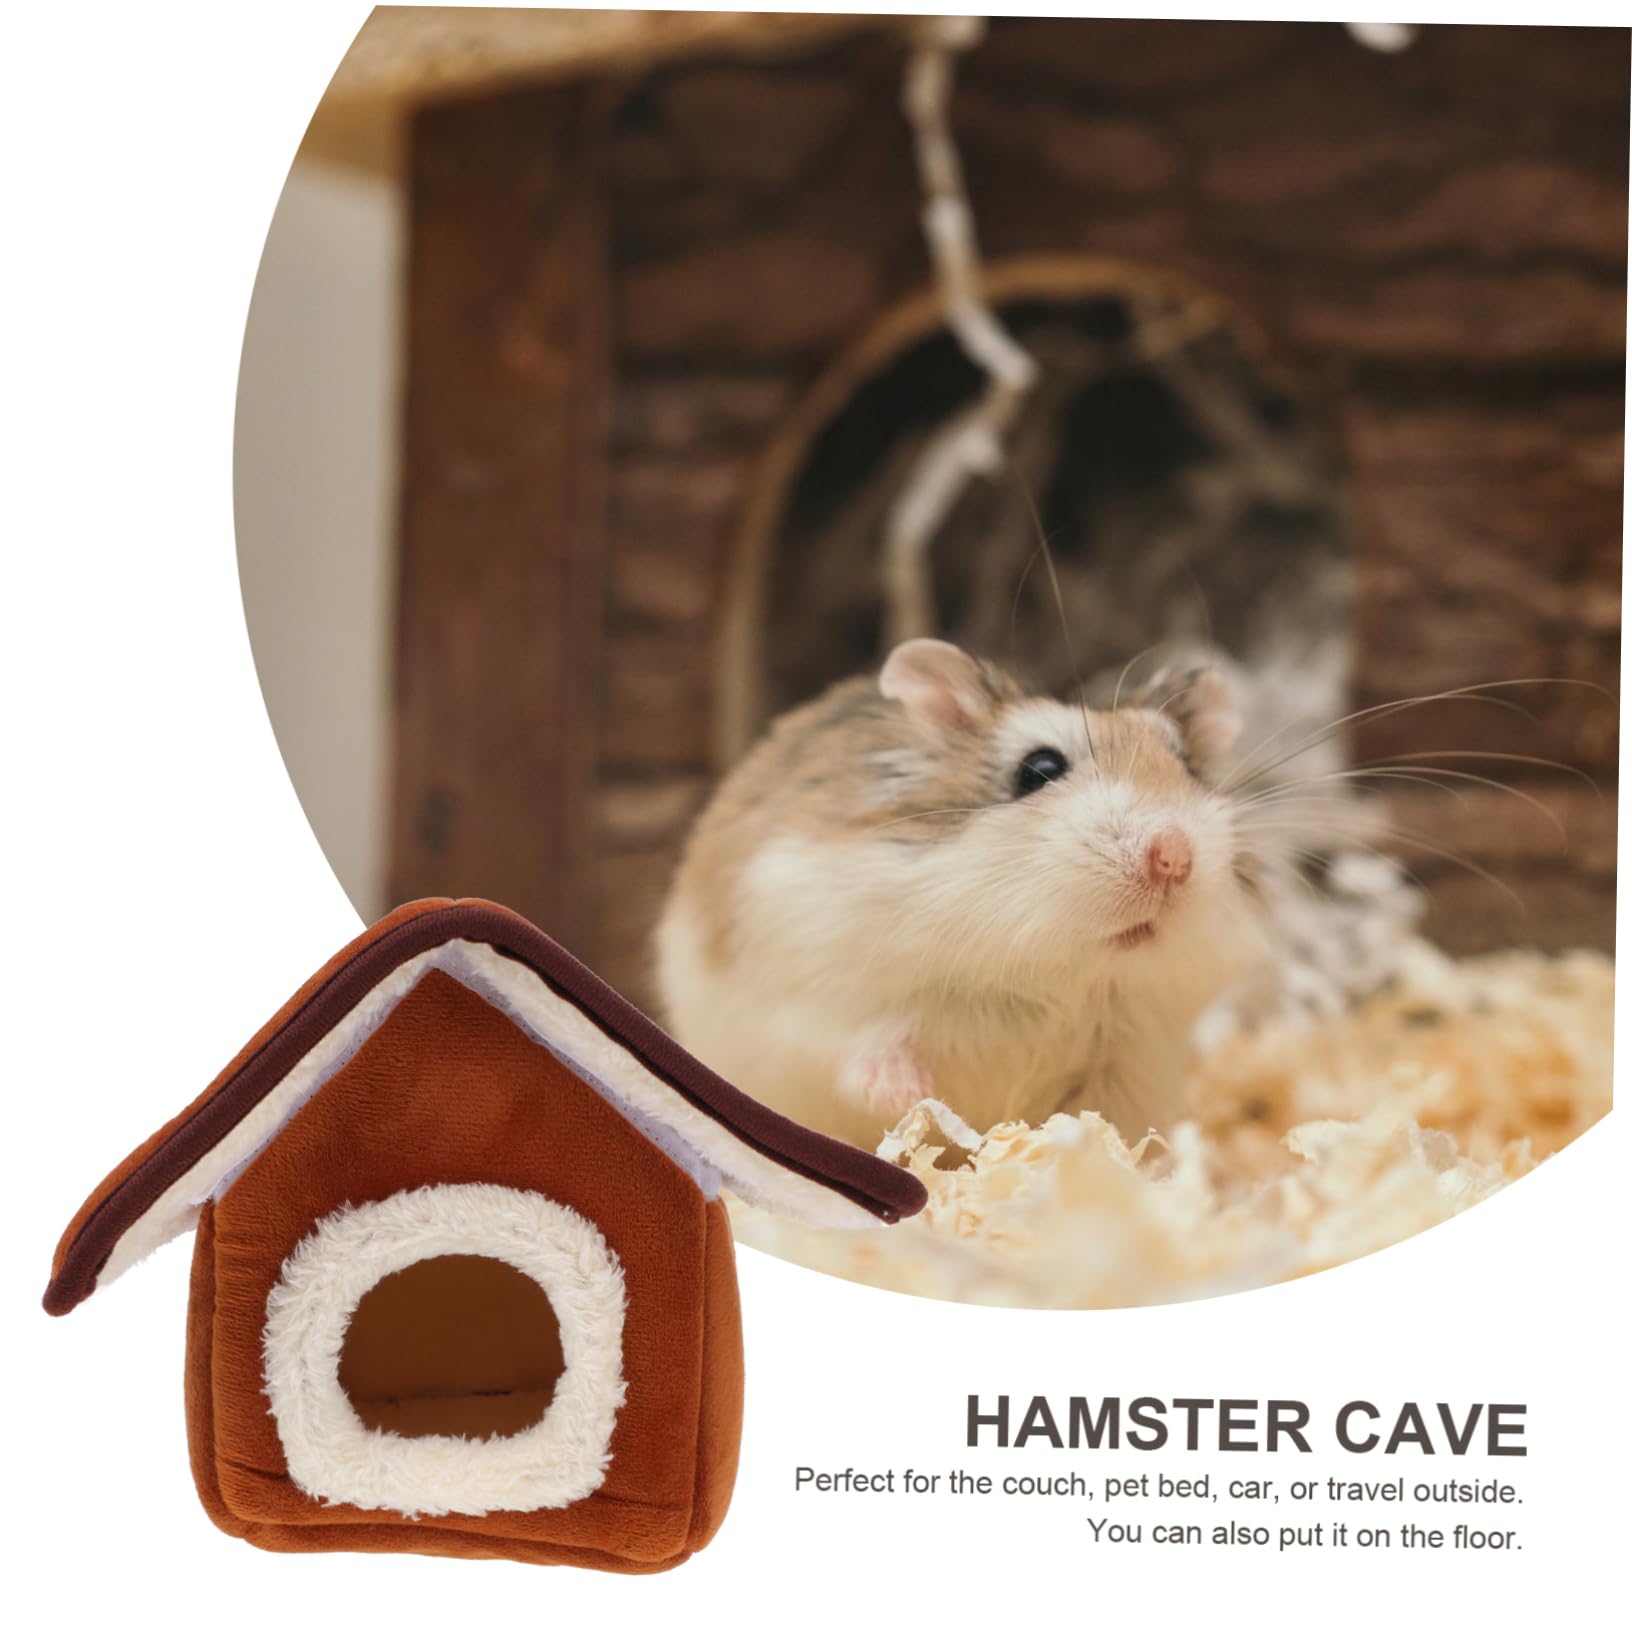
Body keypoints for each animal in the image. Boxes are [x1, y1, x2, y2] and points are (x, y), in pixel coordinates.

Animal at [654, 638, 1273, 1151]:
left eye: (1187, 766)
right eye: (1039, 769)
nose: (1174, 857)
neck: (1059, 975)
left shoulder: (1129, 1063)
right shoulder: (815, 995)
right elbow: (861, 1049)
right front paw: (910, 1097)